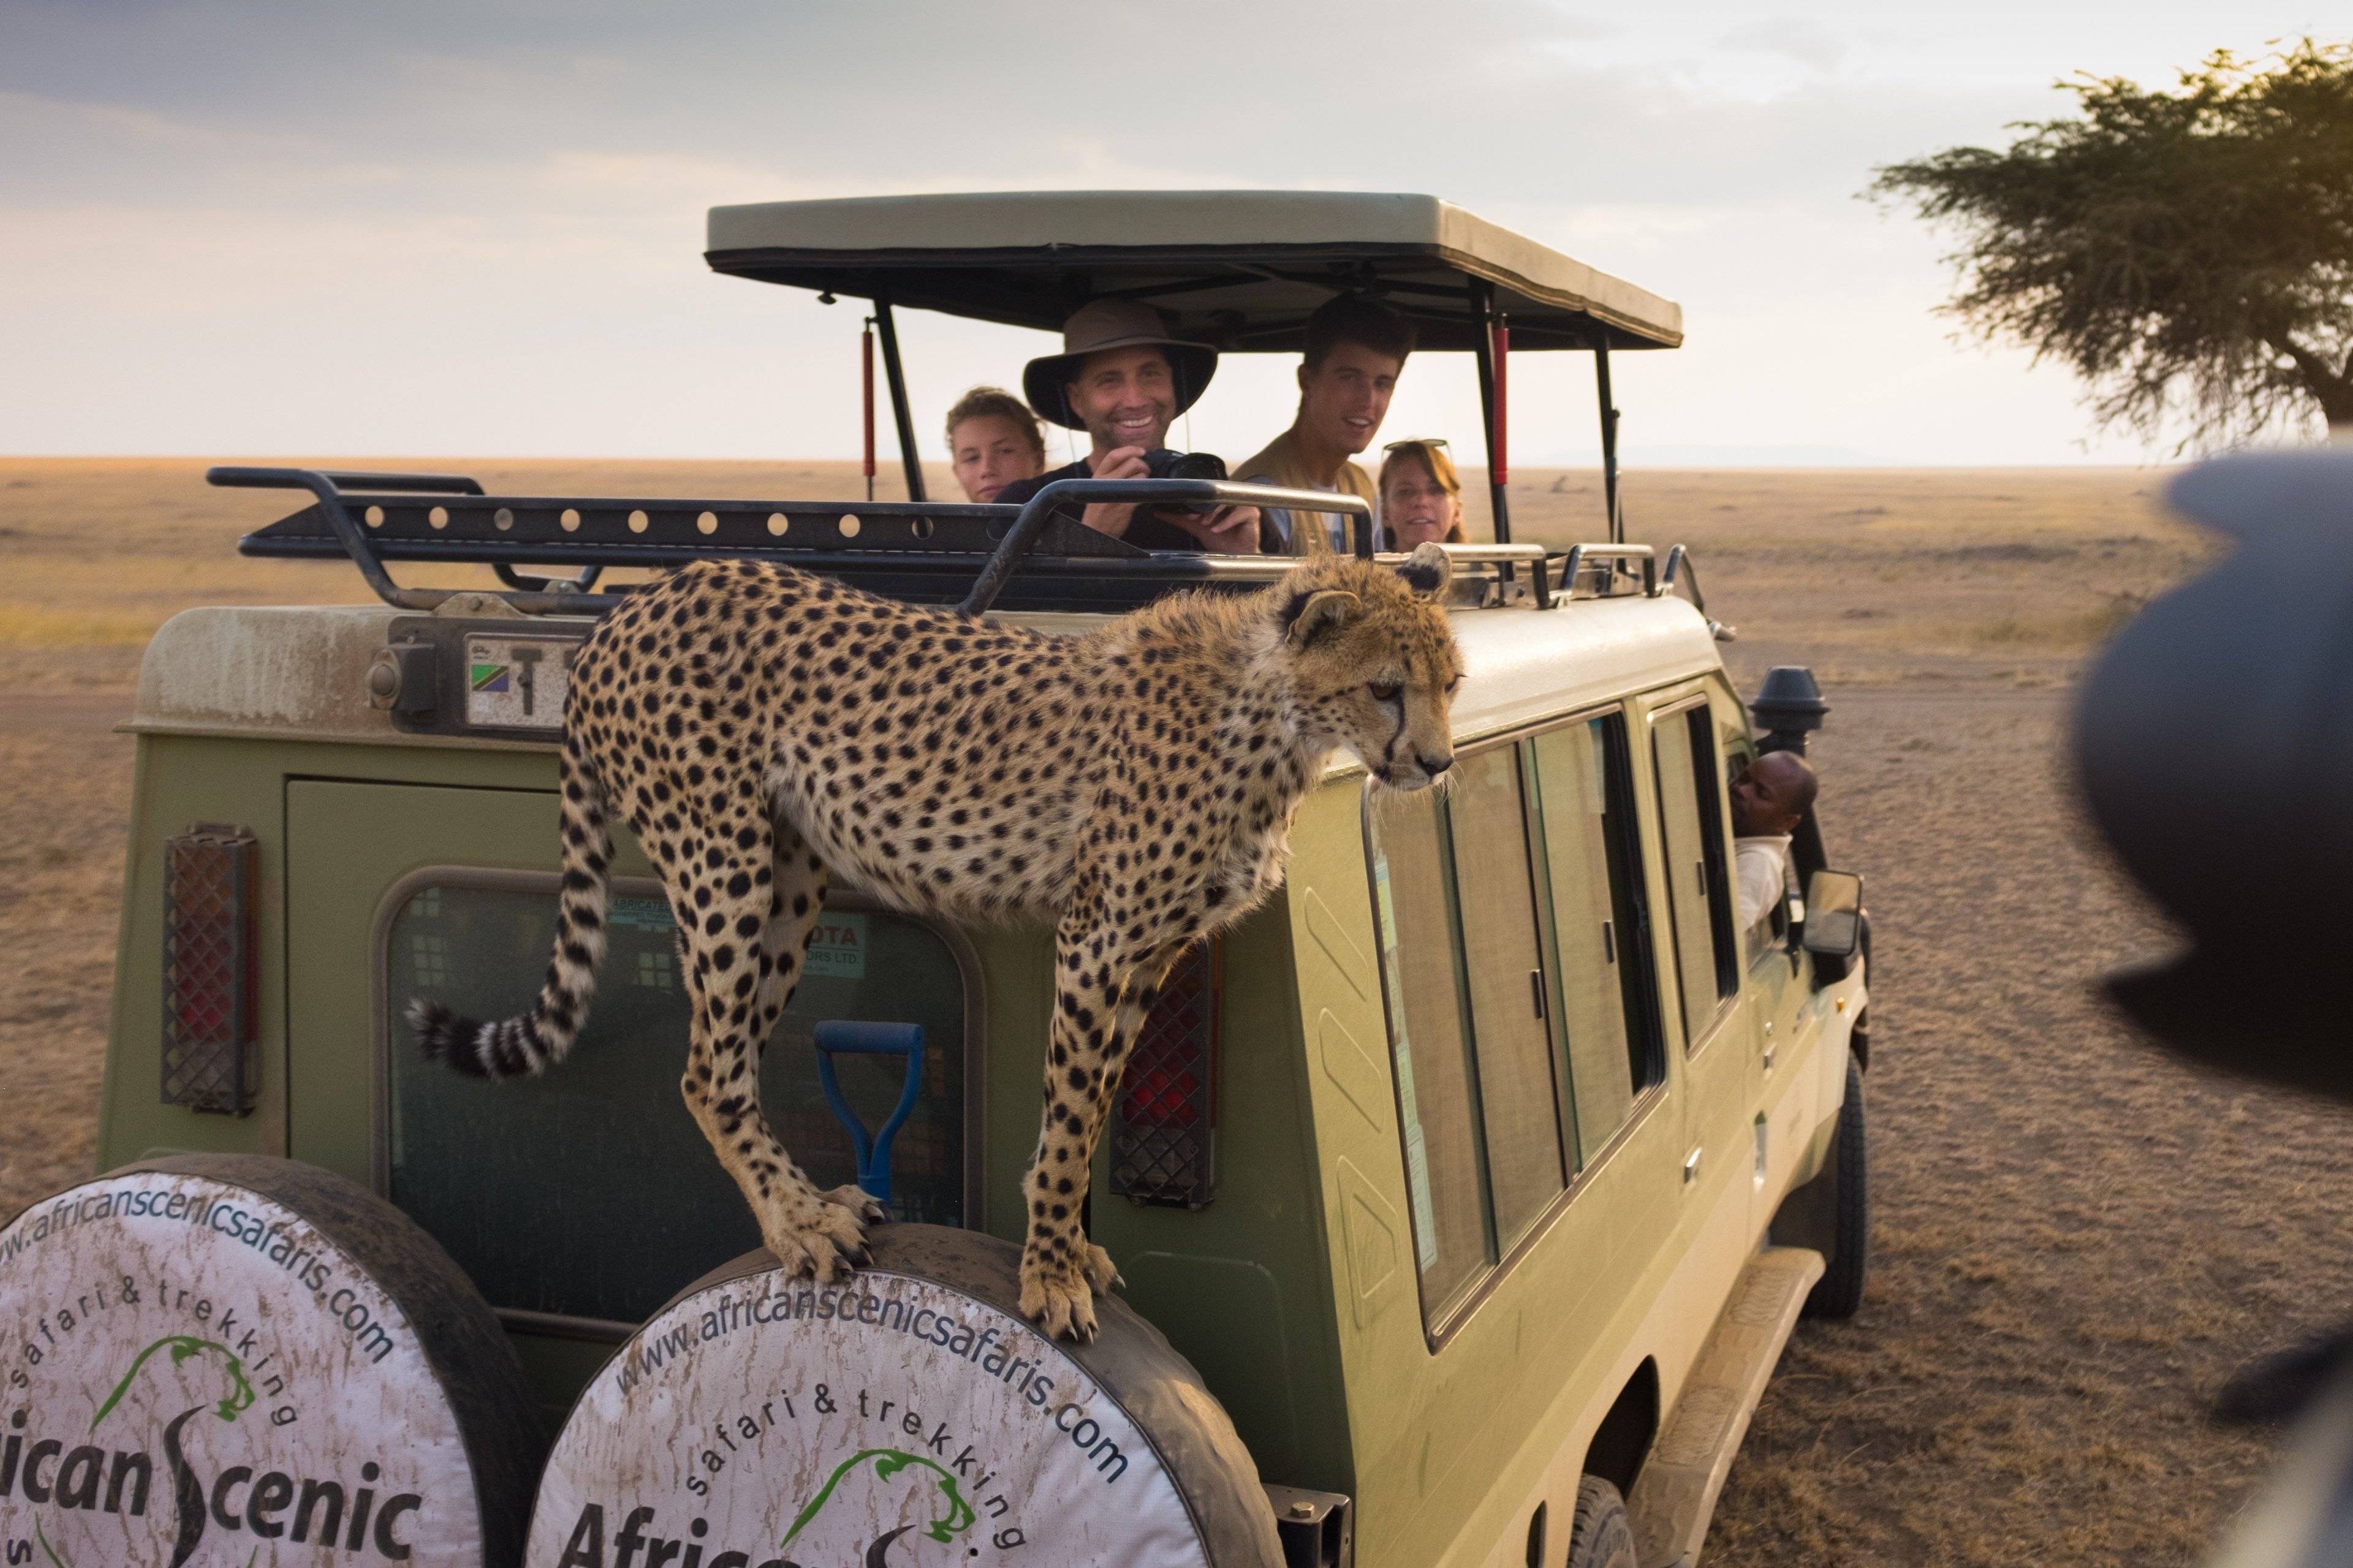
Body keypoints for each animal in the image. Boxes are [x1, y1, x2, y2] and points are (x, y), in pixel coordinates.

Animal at [414, 537, 1458, 1328]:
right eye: (1385, 687)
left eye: (1450, 683)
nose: (1440, 762)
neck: (1273, 718)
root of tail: (634, 605)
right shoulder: (1099, 938)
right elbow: (1073, 1119)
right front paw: (1050, 1272)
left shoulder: (1149, 953)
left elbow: (1091, 1104)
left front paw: (1069, 1245)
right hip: (721, 860)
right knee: (706, 1070)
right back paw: (798, 1223)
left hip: (789, 878)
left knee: (735, 1053)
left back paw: (821, 1198)